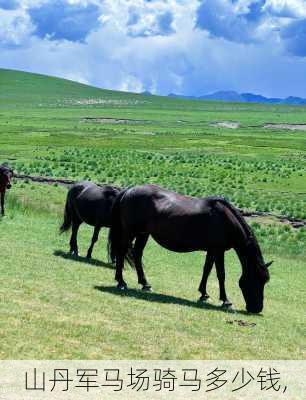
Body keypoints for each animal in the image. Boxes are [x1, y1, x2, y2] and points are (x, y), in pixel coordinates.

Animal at [108, 186, 272, 314]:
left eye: (265, 281)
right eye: (257, 280)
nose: (257, 309)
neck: (225, 219)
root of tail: (129, 190)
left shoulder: (212, 250)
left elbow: (207, 270)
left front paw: (203, 294)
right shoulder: (218, 251)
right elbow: (221, 275)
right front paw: (226, 301)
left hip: (143, 234)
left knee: (137, 254)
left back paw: (145, 284)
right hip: (130, 232)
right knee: (121, 252)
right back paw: (121, 282)